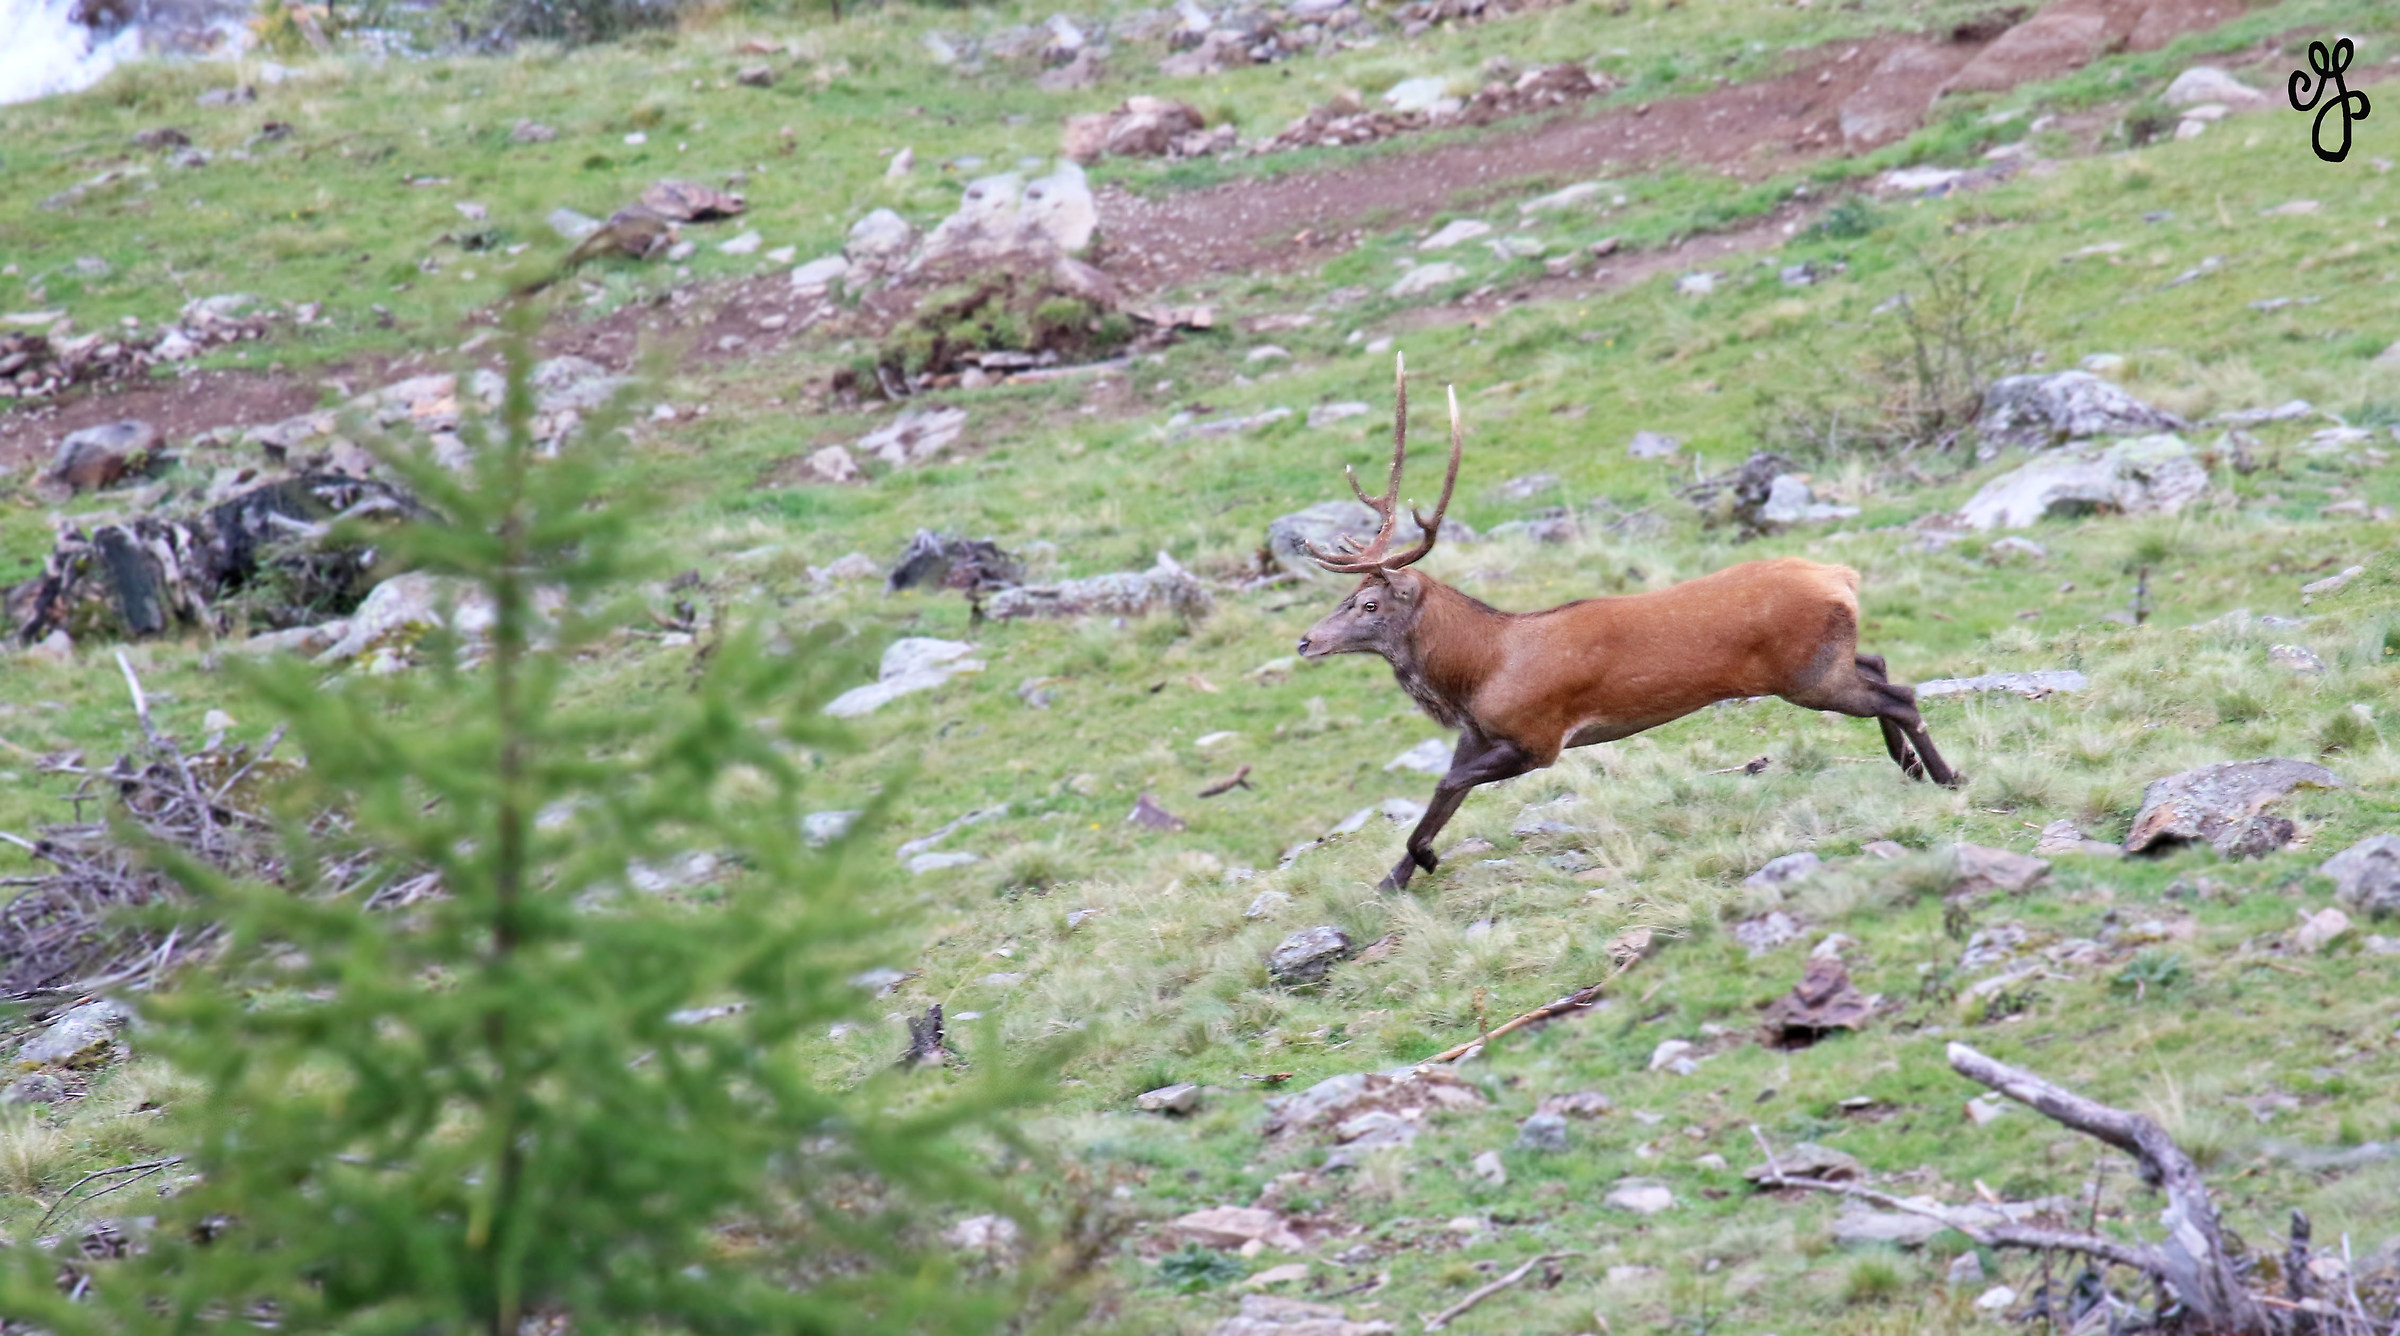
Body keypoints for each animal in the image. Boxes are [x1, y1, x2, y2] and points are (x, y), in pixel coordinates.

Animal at [1295, 355, 1961, 892]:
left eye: (1369, 605)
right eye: (1349, 595)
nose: (1305, 641)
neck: (1480, 672)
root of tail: (1842, 577)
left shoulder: (1538, 738)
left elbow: (1444, 788)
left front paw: (1424, 861)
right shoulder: (1478, 734)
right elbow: (1447, 791)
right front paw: (1392, 881)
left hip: (1806, 675)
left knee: (1900, 695)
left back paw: (1945, 777)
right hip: (1826, 661)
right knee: (1879, 666)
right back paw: (1906, 765)